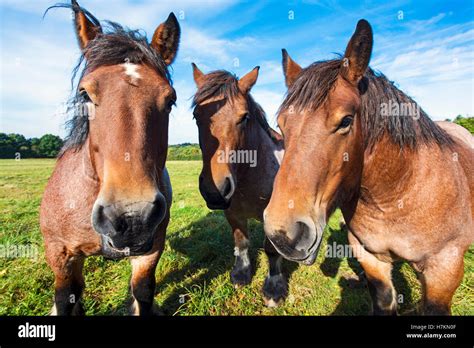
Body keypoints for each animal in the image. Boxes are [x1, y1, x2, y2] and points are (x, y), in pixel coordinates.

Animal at [39, 0, 179, 316]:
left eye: (171, 99)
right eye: (85, 93)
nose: (131, 218)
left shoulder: (151, 248)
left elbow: (142, 292)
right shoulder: (60, 255)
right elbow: (65, 298)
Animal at [191, 64, 286, 306]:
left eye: (244, 117)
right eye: (196, 116)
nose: (215, 191)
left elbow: (272, 251)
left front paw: (274, 288)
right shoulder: (232, 213)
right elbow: (241, 243)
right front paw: (241, 274)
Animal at [264, 19, 472, 316]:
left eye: (346, 120)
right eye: (281, 125)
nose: (283, 235)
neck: (397, 196)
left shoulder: (444, 272)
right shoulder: (371, 259)